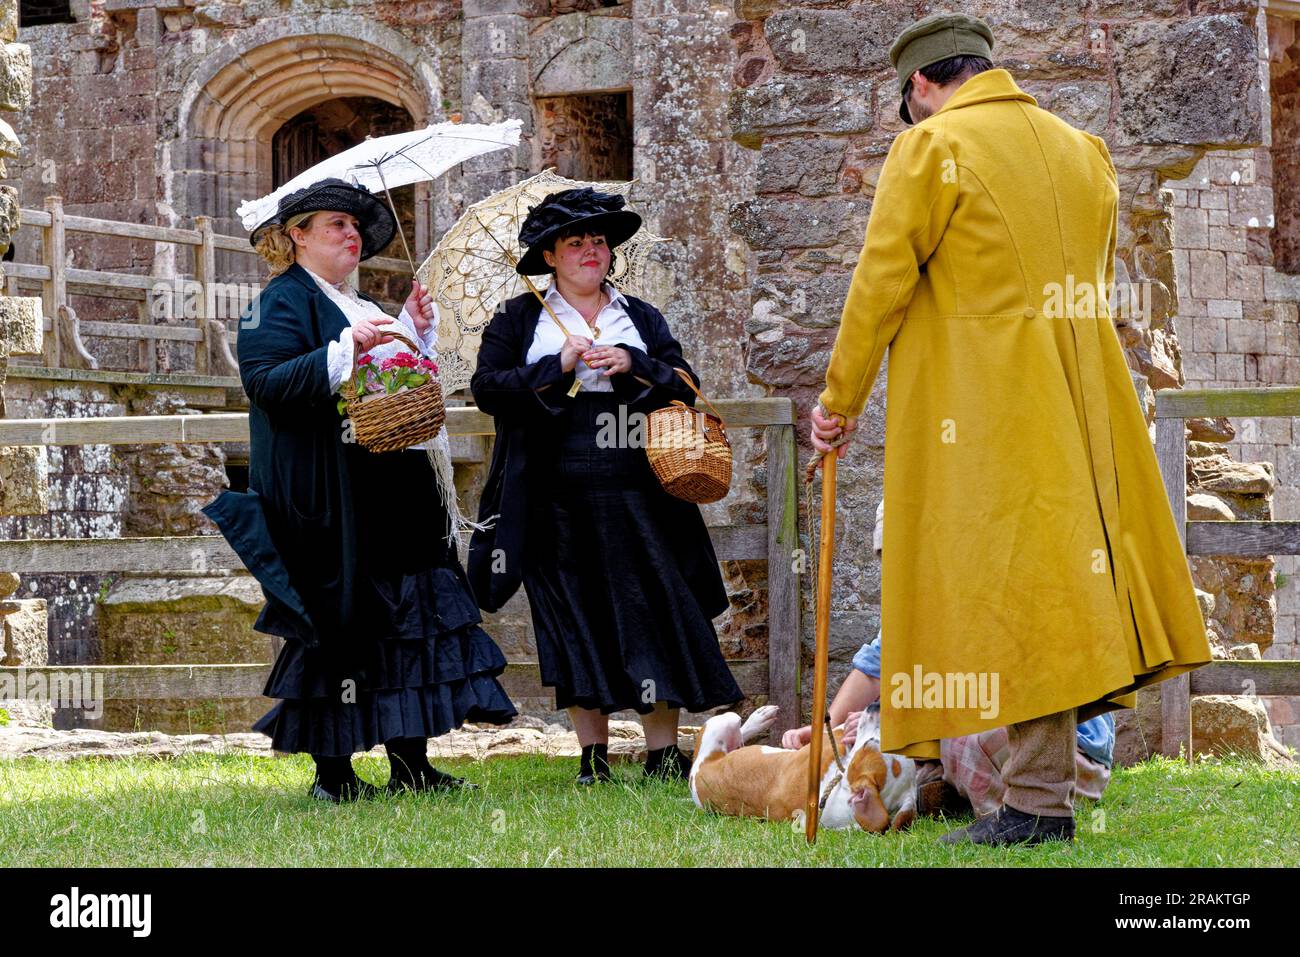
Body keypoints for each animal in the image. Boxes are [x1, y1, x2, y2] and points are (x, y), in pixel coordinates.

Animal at [686, 707, 920, 832]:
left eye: (870, 743)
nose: (875, 705)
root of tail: (695, 777)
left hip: (725, 720)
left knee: (739, 733)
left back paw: (759, 718)